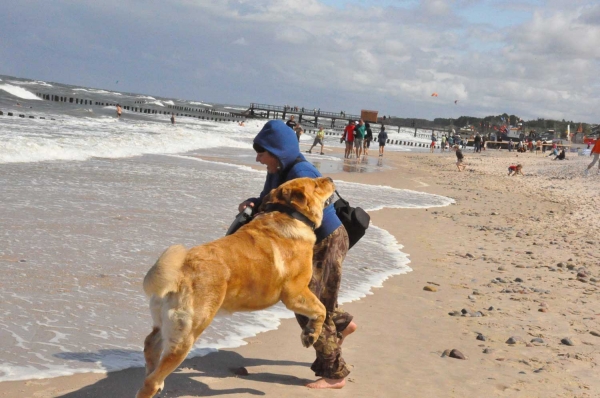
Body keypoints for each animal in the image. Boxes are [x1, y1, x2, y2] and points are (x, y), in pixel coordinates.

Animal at [135, 177, 338, 398]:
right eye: (316, 185)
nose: (330, 178)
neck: (289, 214)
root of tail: (180, 271)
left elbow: (321, 309)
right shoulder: (295, 294)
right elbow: (321, 309)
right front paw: (311, 334)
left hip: (165, 323)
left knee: (150, 345)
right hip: (187, 334)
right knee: (152, 380)